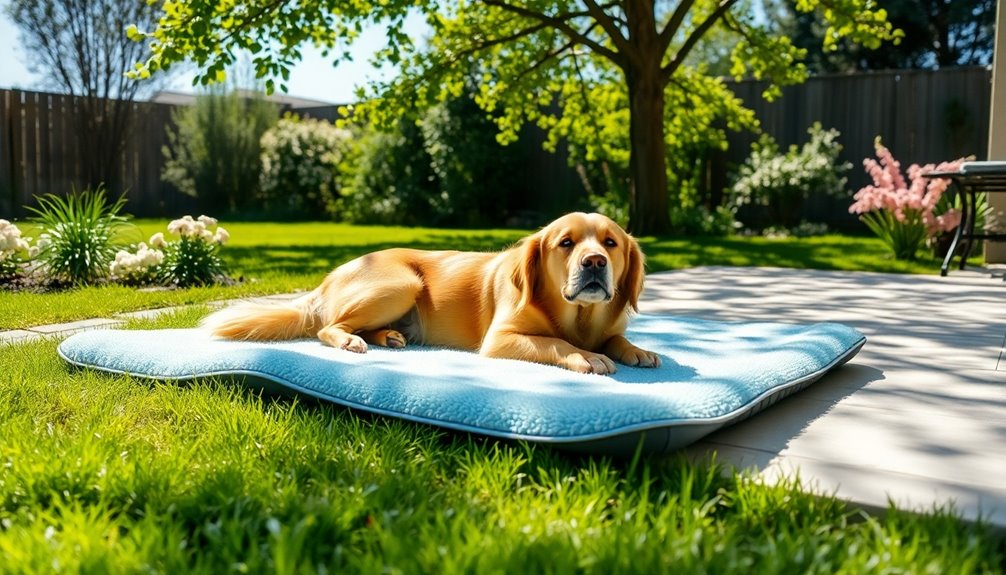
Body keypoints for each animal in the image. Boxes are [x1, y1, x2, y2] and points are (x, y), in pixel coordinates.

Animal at [203, 213, 659, 375]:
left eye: (611, 243)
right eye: (566, 243)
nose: (595, 263)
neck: (577, 315)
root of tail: (329, 277)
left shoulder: (608, 326)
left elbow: (616, 337)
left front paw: (635, 349)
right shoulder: (501, 339)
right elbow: (557, 343)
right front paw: (587, 356)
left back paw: (387, 336)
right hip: (402, 283)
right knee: (328, 327)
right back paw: (351, 340)